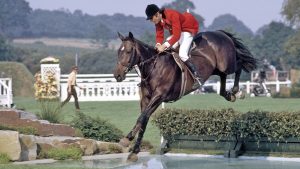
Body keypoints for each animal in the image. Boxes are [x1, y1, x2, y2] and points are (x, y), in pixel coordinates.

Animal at [113, 30, 256, 161]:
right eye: (118, 52)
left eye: (128, 51)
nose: (117, 75)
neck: (153, 68)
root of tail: (221, 33)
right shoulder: (146, 99)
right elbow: (144, 119)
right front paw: (133, 149)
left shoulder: (159, 96)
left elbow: (142, 118)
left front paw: (127, 140)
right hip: (216, 69)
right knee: (223, 80)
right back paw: (230, 95)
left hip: (226, 64)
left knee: (239, 65)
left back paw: (238, 91)